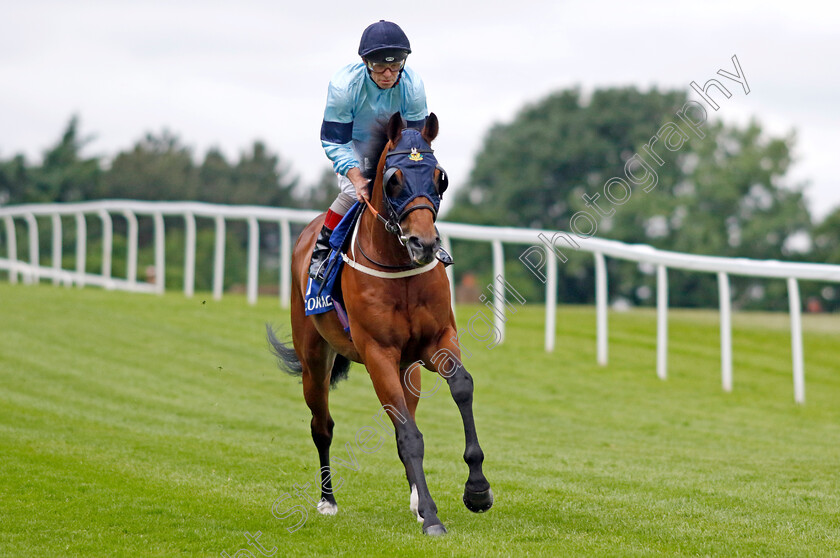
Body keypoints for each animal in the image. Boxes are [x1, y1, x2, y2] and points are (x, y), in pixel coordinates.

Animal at [268, 112, 492, 540]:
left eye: (440, 177)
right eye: (393, 180)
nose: (423, 242)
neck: (399, 266)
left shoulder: (437, 341)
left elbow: (462, 387)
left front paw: (477, 490)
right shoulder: (378, 354)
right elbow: (409, 436)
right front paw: (433, 516)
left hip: (409, 371)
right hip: (314, 361)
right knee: (322, 425)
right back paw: (328, 500)